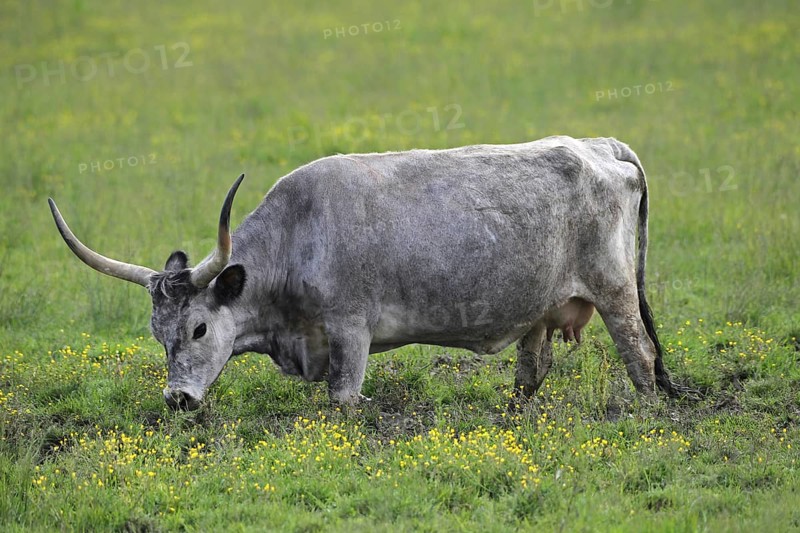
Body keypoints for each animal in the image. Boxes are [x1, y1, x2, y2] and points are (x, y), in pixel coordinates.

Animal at [48, 135, 681, 411]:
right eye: (158, 334)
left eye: (200, 328)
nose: (176, 398)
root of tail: (599, 145)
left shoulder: (350, 332)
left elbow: (342, 398)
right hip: (541, 307)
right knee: (533, 366)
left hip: (616, 292)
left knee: (640, 354)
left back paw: (647, 412)